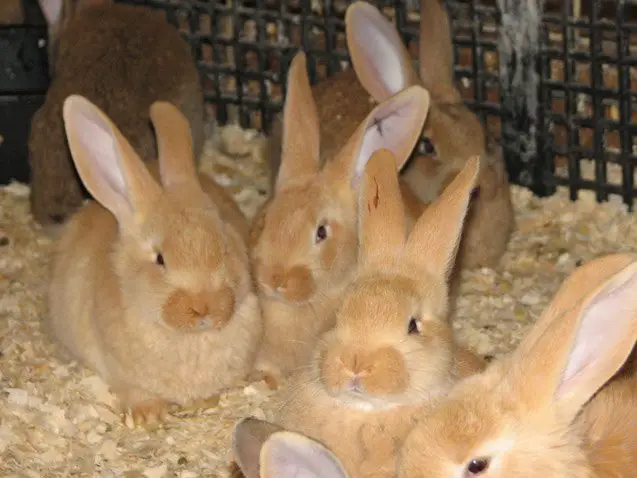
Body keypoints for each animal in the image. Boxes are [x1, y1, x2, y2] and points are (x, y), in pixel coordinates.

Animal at [46, 95, 260, 428]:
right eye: (160, 259)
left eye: (224, 244)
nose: (205, 307)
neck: (189, 337)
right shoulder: (120, 372)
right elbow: (135, 393)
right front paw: (150, 417)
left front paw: (202, 404)